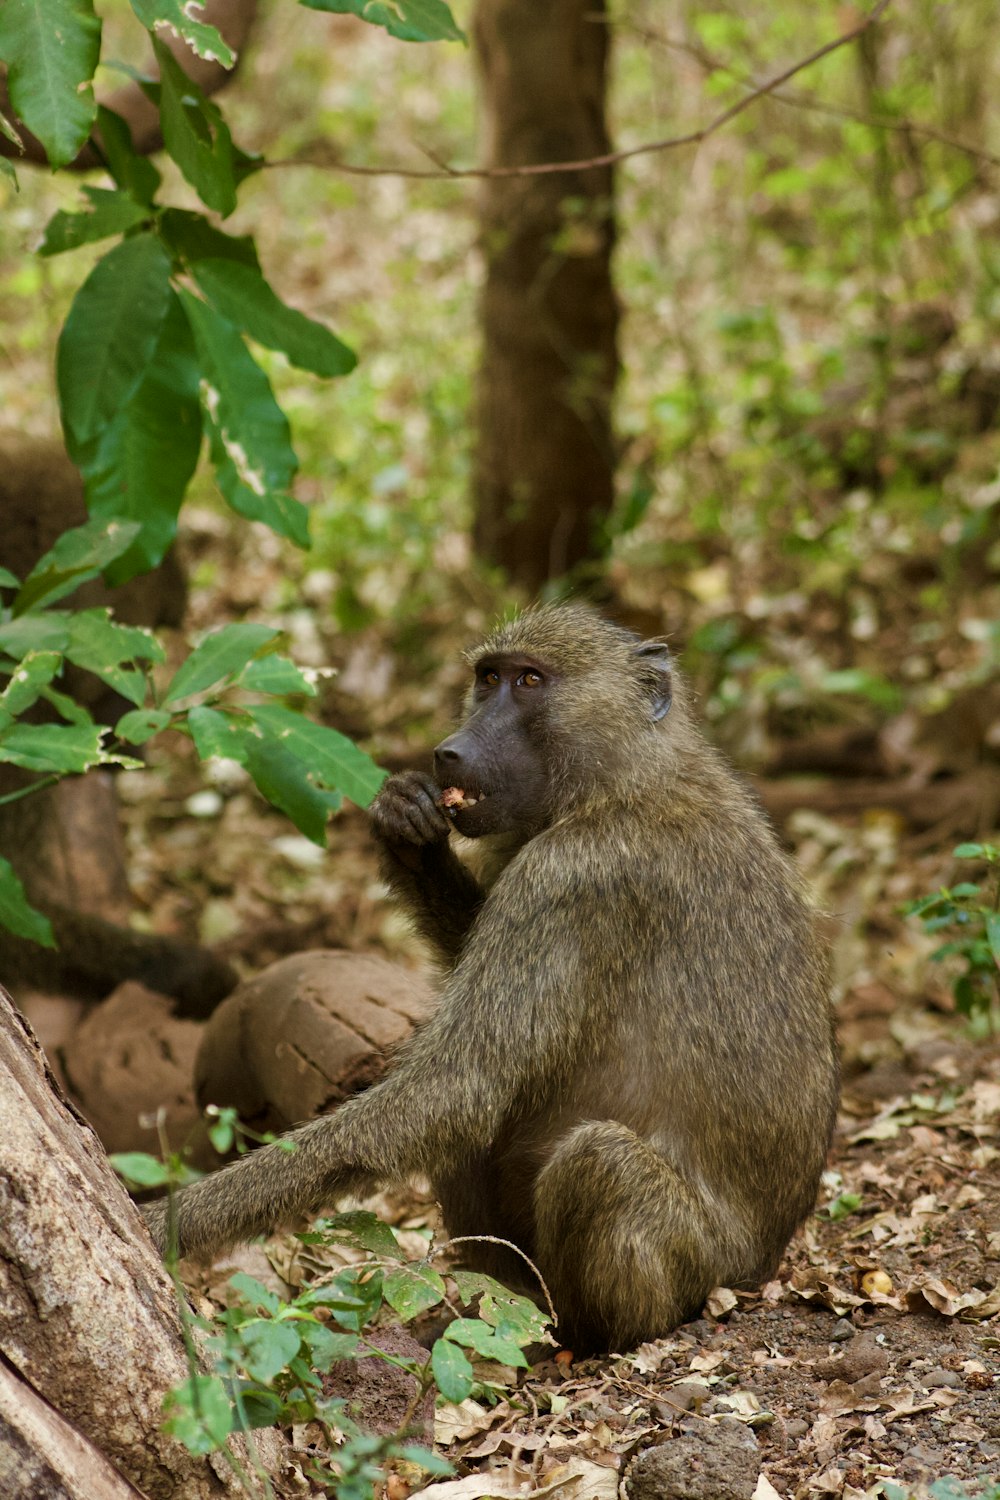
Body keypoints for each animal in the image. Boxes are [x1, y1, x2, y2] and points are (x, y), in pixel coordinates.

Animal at [144, 603, 839, 1356]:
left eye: (530, 680)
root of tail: (763, 1266)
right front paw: (406, 829)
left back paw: (573, 1331)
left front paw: (168, 1222)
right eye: (487, 678)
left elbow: (456, 1086)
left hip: (701, 1263)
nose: (450, 751)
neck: (623, 779)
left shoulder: (571, 877)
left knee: (598, 1160)